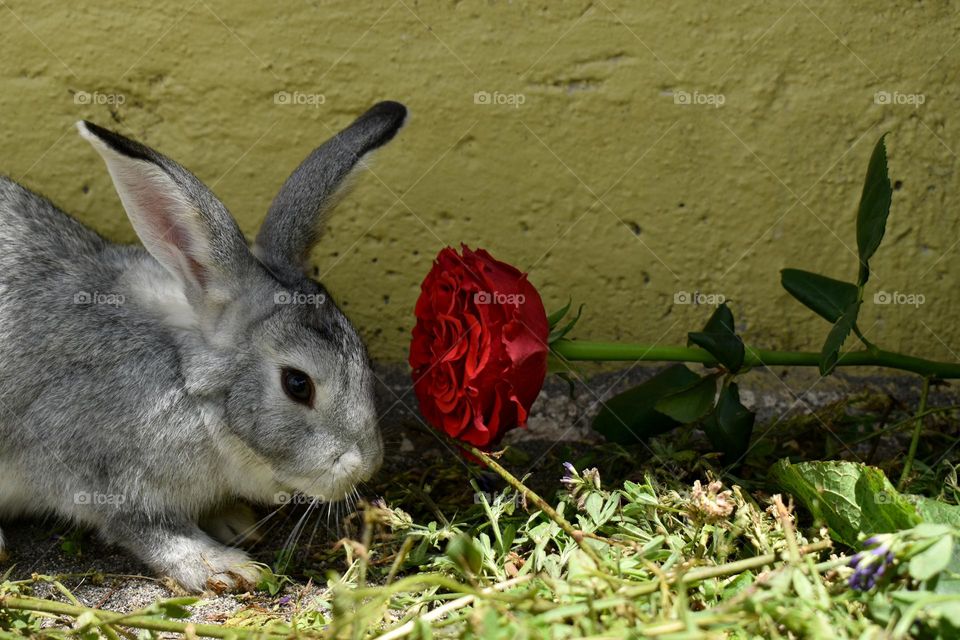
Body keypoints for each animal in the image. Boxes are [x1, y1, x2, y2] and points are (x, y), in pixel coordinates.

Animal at [0, 101, 407, 592]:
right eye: (297, 384)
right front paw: (222, 566)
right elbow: (146, 529)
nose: (366, 465)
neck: (187, 383)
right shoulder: (89, 470)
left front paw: (233, 519)